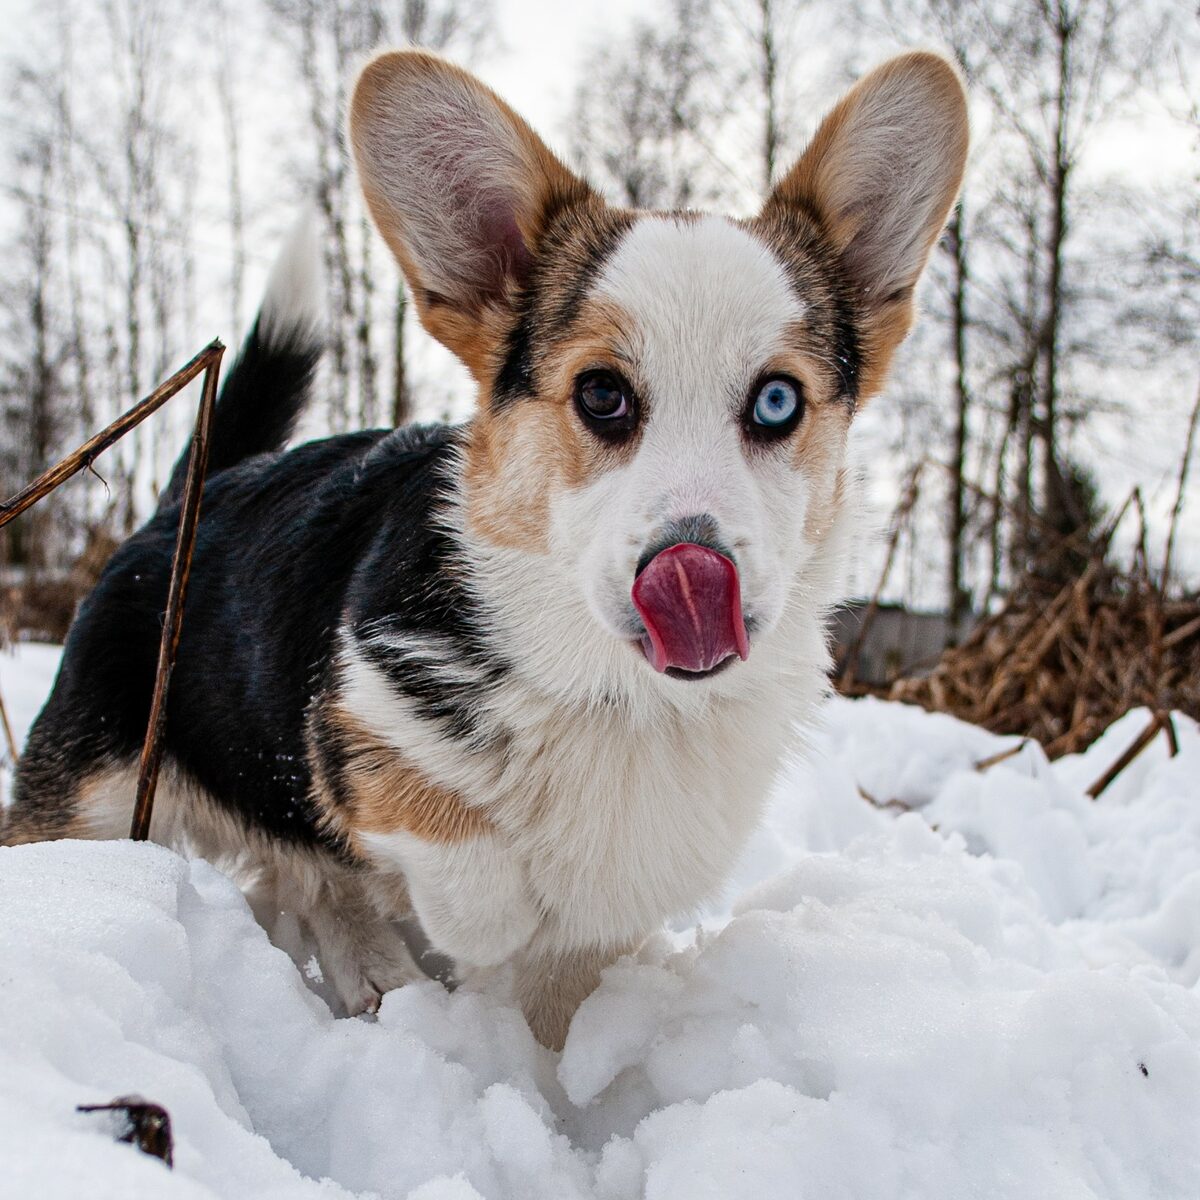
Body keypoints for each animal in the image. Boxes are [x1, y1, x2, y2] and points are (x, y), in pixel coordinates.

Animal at [4, 49, 969, 1041]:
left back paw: (369, 970)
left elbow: (563, 1002)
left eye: (778, 401)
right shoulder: (351, 722)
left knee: (304, 880)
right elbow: (467, 866)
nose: (695, 572)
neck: (619, 696)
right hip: (88, 798)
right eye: (601, 395)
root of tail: (188, 501)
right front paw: (480, 929)